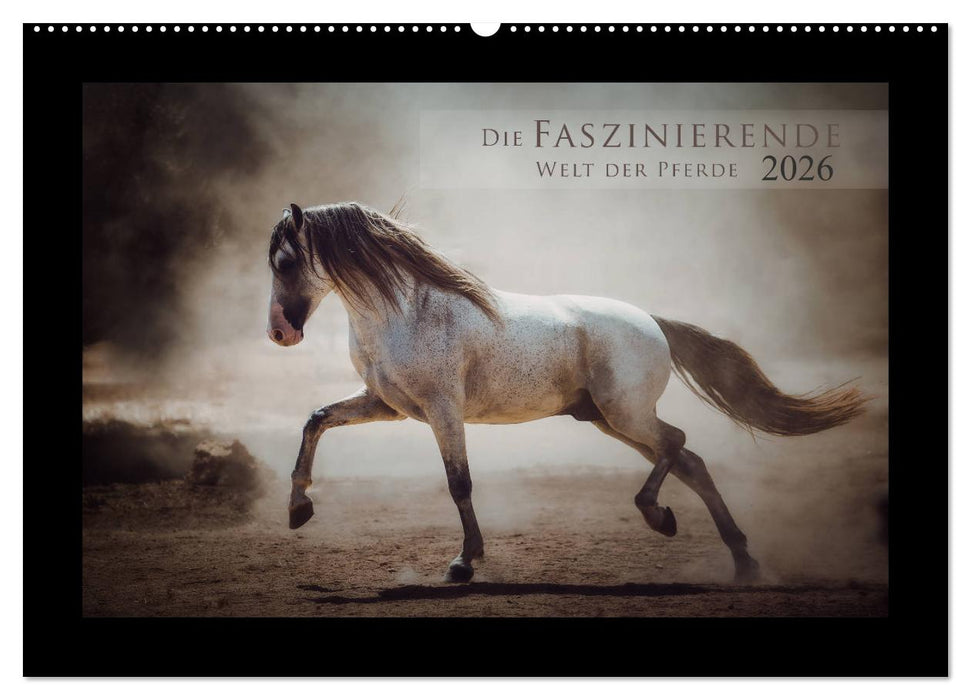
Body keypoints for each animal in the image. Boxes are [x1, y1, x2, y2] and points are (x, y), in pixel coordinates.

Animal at [266, 201, 866, 583]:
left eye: (286, 261)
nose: (280, 334)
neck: (405, 311)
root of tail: (652, 321)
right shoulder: (388, 407)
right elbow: (316, 419)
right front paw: (298, 510)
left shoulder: (442, 411)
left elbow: (459, 483)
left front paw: (464, 563)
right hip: (607, 419)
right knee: (691, 461)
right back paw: (741, 562)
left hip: (625, 415)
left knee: (677, 443)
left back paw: (660, 517)